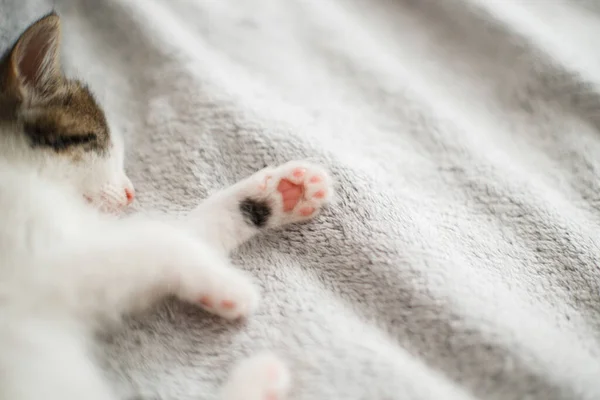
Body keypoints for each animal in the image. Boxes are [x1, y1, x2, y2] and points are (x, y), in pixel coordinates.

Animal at [0, 13, 332, 400]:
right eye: (99, 144)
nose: (131, 193)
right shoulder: (42, 260)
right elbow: (160, 240)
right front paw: (227, 284)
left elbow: (176, 231)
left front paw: (279, 193)